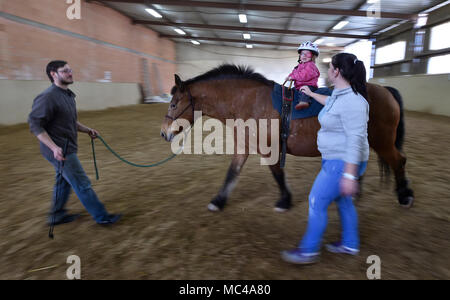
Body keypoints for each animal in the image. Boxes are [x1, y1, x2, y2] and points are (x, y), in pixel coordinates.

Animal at [160, 64, 414, 212]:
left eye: (173, 104)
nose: (164, 132)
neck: (248, 100)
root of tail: (385, 90)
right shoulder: (244, 146)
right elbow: (232, 173)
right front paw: (218, 201)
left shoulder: (269, 148)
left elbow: (277, 174)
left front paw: (284, 201)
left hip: (382, 141)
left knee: (398, 161)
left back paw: (405, 196)